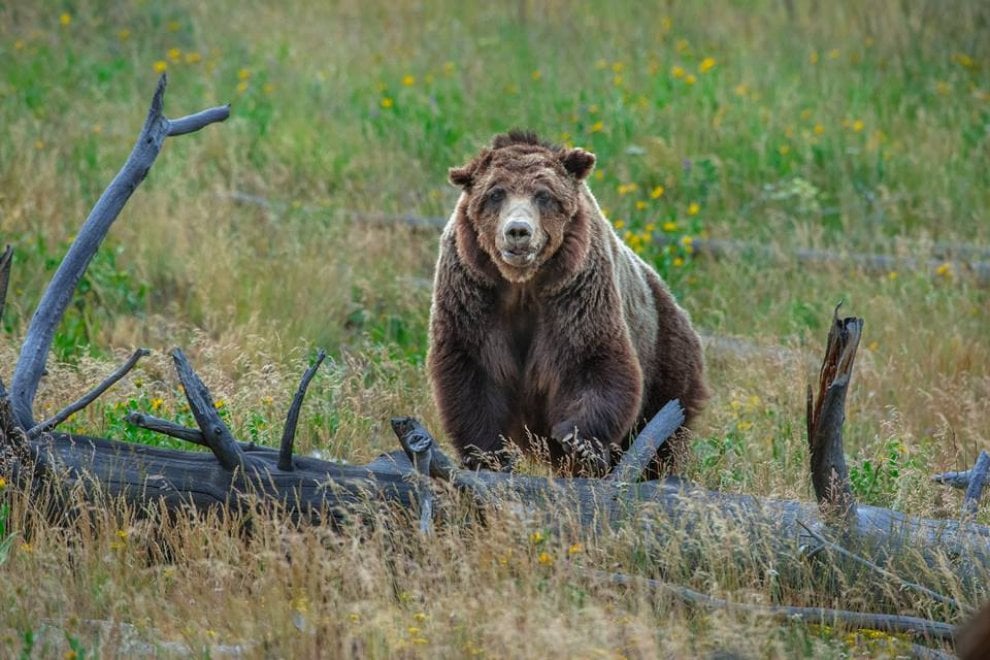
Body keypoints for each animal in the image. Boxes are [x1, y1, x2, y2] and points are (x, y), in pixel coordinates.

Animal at [427, 131, 707, 476]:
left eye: (543, 195)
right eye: (495, 193)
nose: (518, 231)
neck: (523, 284)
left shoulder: (576, 293)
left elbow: (592, 360)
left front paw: (579, 441)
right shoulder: (473, 294)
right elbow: (473, 370)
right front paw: (487, 455)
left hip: (665, 359)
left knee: (660, 436)